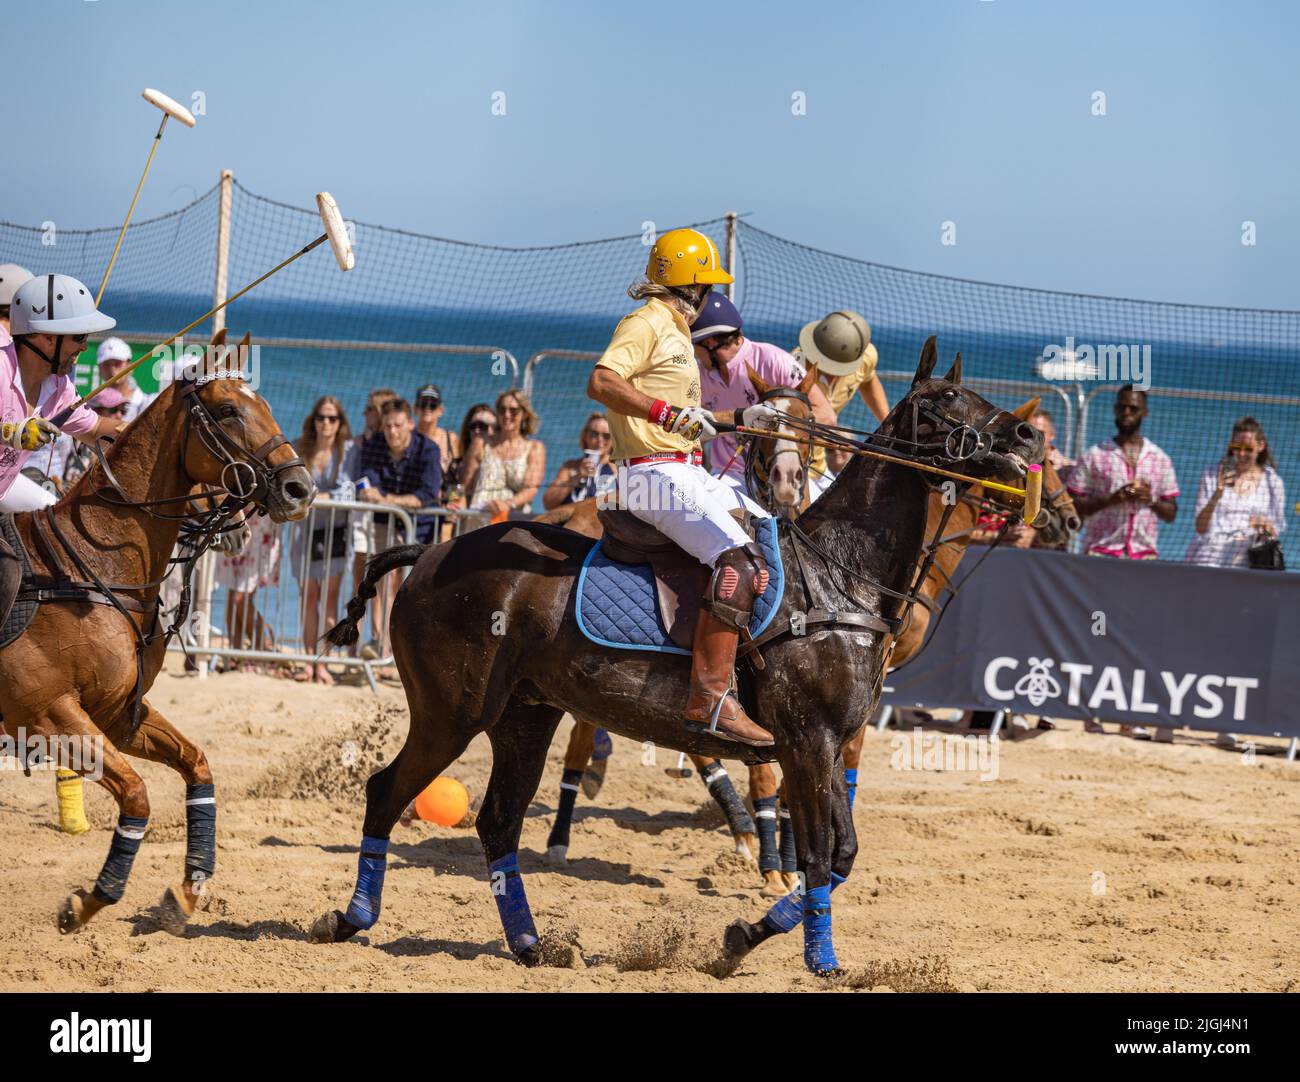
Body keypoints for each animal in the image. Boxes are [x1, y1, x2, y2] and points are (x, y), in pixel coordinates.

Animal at [0, 327, 313, 931]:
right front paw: (90, 899)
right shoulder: (48, 715)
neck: (88, 569)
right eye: (228, 410)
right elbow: (138, 796)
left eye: (262, 403)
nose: (301, 488)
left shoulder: (118, 715)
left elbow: (197, 765)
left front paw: (189, 889)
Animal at [309, 343, 1040, 977]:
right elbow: (822, 855)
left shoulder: (829, 744)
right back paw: (352, 918)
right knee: (388, 790)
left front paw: (773, 946)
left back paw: (530, 946)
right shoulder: (808, 739)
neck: (840, 576)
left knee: (497, 822)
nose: (1030, 437)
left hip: (526, 715)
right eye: (945, 399)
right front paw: (784, 949)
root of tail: (428, 552)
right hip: (452, 711)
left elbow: (836, 856)